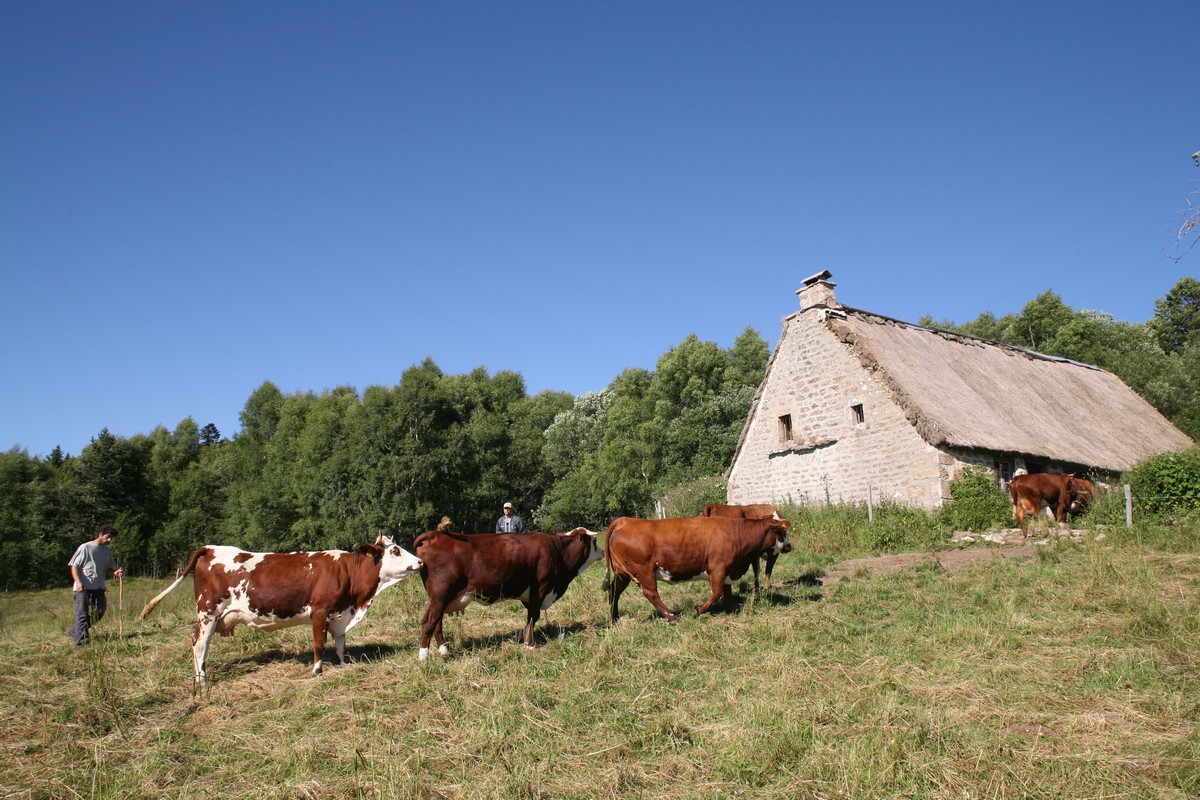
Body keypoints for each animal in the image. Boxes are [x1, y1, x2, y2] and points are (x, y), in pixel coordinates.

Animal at [137, 537, 422, 690]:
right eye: (395, 550)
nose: (420, 561)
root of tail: (211, 547)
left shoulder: (340, 615)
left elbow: (340, 643)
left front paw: (342, 665)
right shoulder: (319, 611)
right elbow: (319, 644)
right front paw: (317, 672)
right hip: (208, 612)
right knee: (199, 645)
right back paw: (202, 682)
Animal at [412, 527, 604, 662]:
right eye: (594, 541)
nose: (602, 551)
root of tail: (436, 535)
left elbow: (530, 617)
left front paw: (522, 637)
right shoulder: (540, 588)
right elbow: (533, 616)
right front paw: (529, 644)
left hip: (438, 599)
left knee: (436, 623)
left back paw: (444, 651)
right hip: (440, 596)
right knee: (429, 623)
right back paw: (424, 657)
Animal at [604, 513, 792, 623]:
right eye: (781, 533)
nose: (790, 546)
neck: (738, 533)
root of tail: (625, 520)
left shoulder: (727, 572)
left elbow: (727, 594)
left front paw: (730, 613)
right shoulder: (718, 568)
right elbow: (716, 594)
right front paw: (697, 611)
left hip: (623, 573)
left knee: (614, 591)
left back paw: (615, 617)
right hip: (644, 571)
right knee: (650, 593)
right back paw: (671, 616)